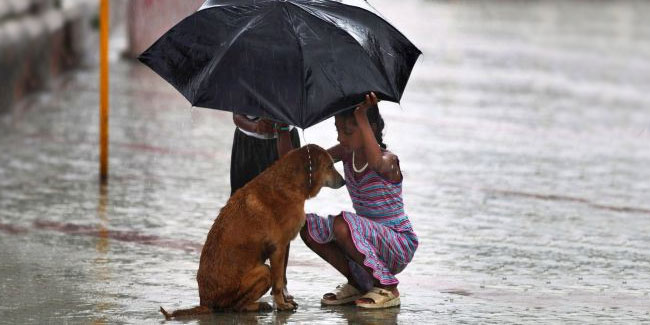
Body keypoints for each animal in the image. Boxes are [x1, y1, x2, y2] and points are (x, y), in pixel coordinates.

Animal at [160, 144, 344, 316]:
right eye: (330, 166)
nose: (343, 181)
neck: (289, 182)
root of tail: (205, 303)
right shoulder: (278, 249)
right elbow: (278, 283)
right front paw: (282, 304)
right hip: (263, 272)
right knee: (236, 307)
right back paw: (258, 306)